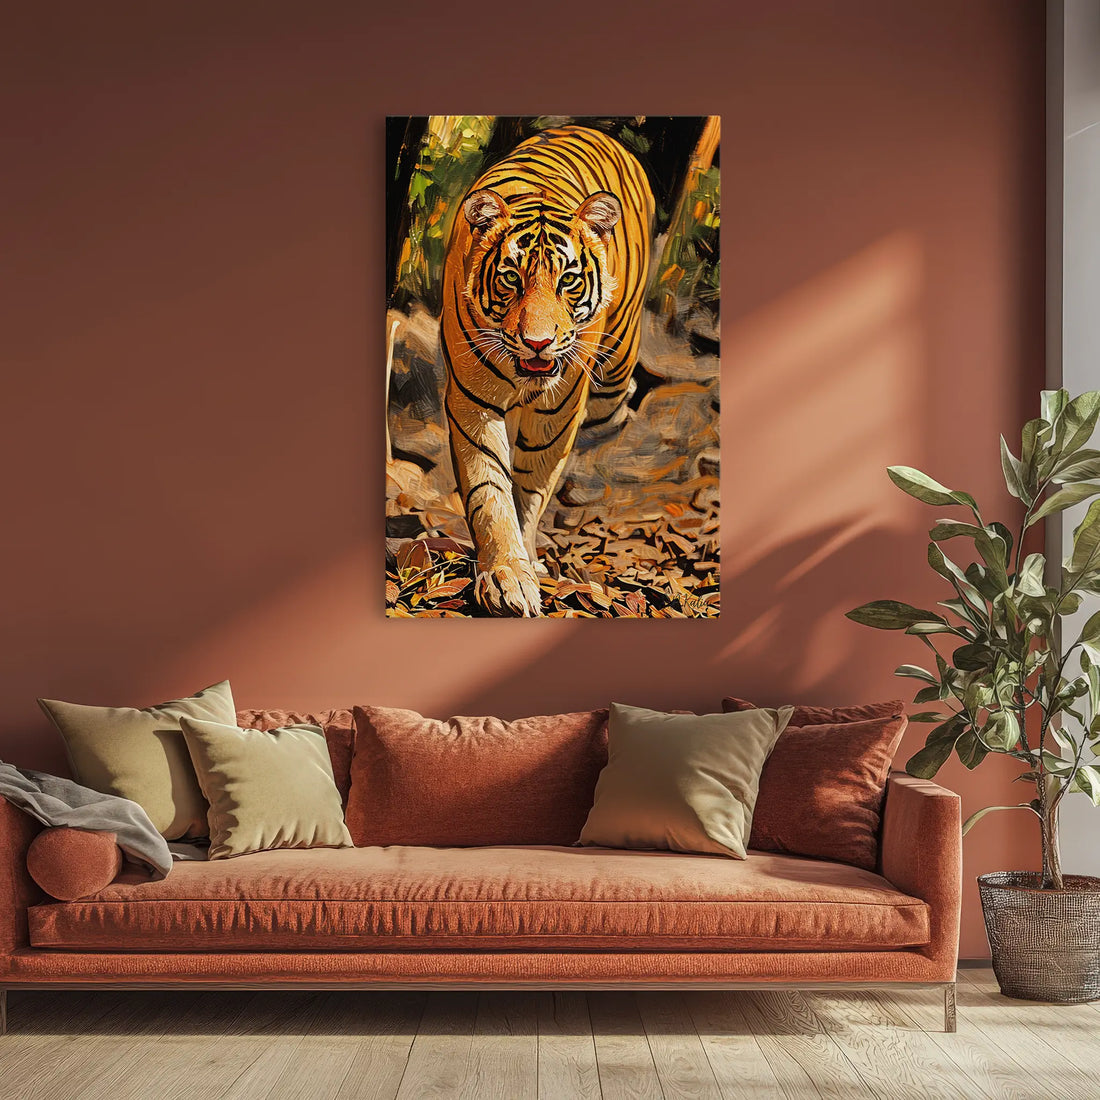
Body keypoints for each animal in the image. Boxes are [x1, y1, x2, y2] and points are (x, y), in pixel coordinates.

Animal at [440, 125, 654, 617]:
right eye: (511, 279)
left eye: (568, 280)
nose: (537, 342)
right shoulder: (472, 402)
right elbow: (489, 490)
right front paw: (507, 575)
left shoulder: (558, 409)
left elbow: (530, 487)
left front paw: (525, 559)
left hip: (616, 368)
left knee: (615, 407)